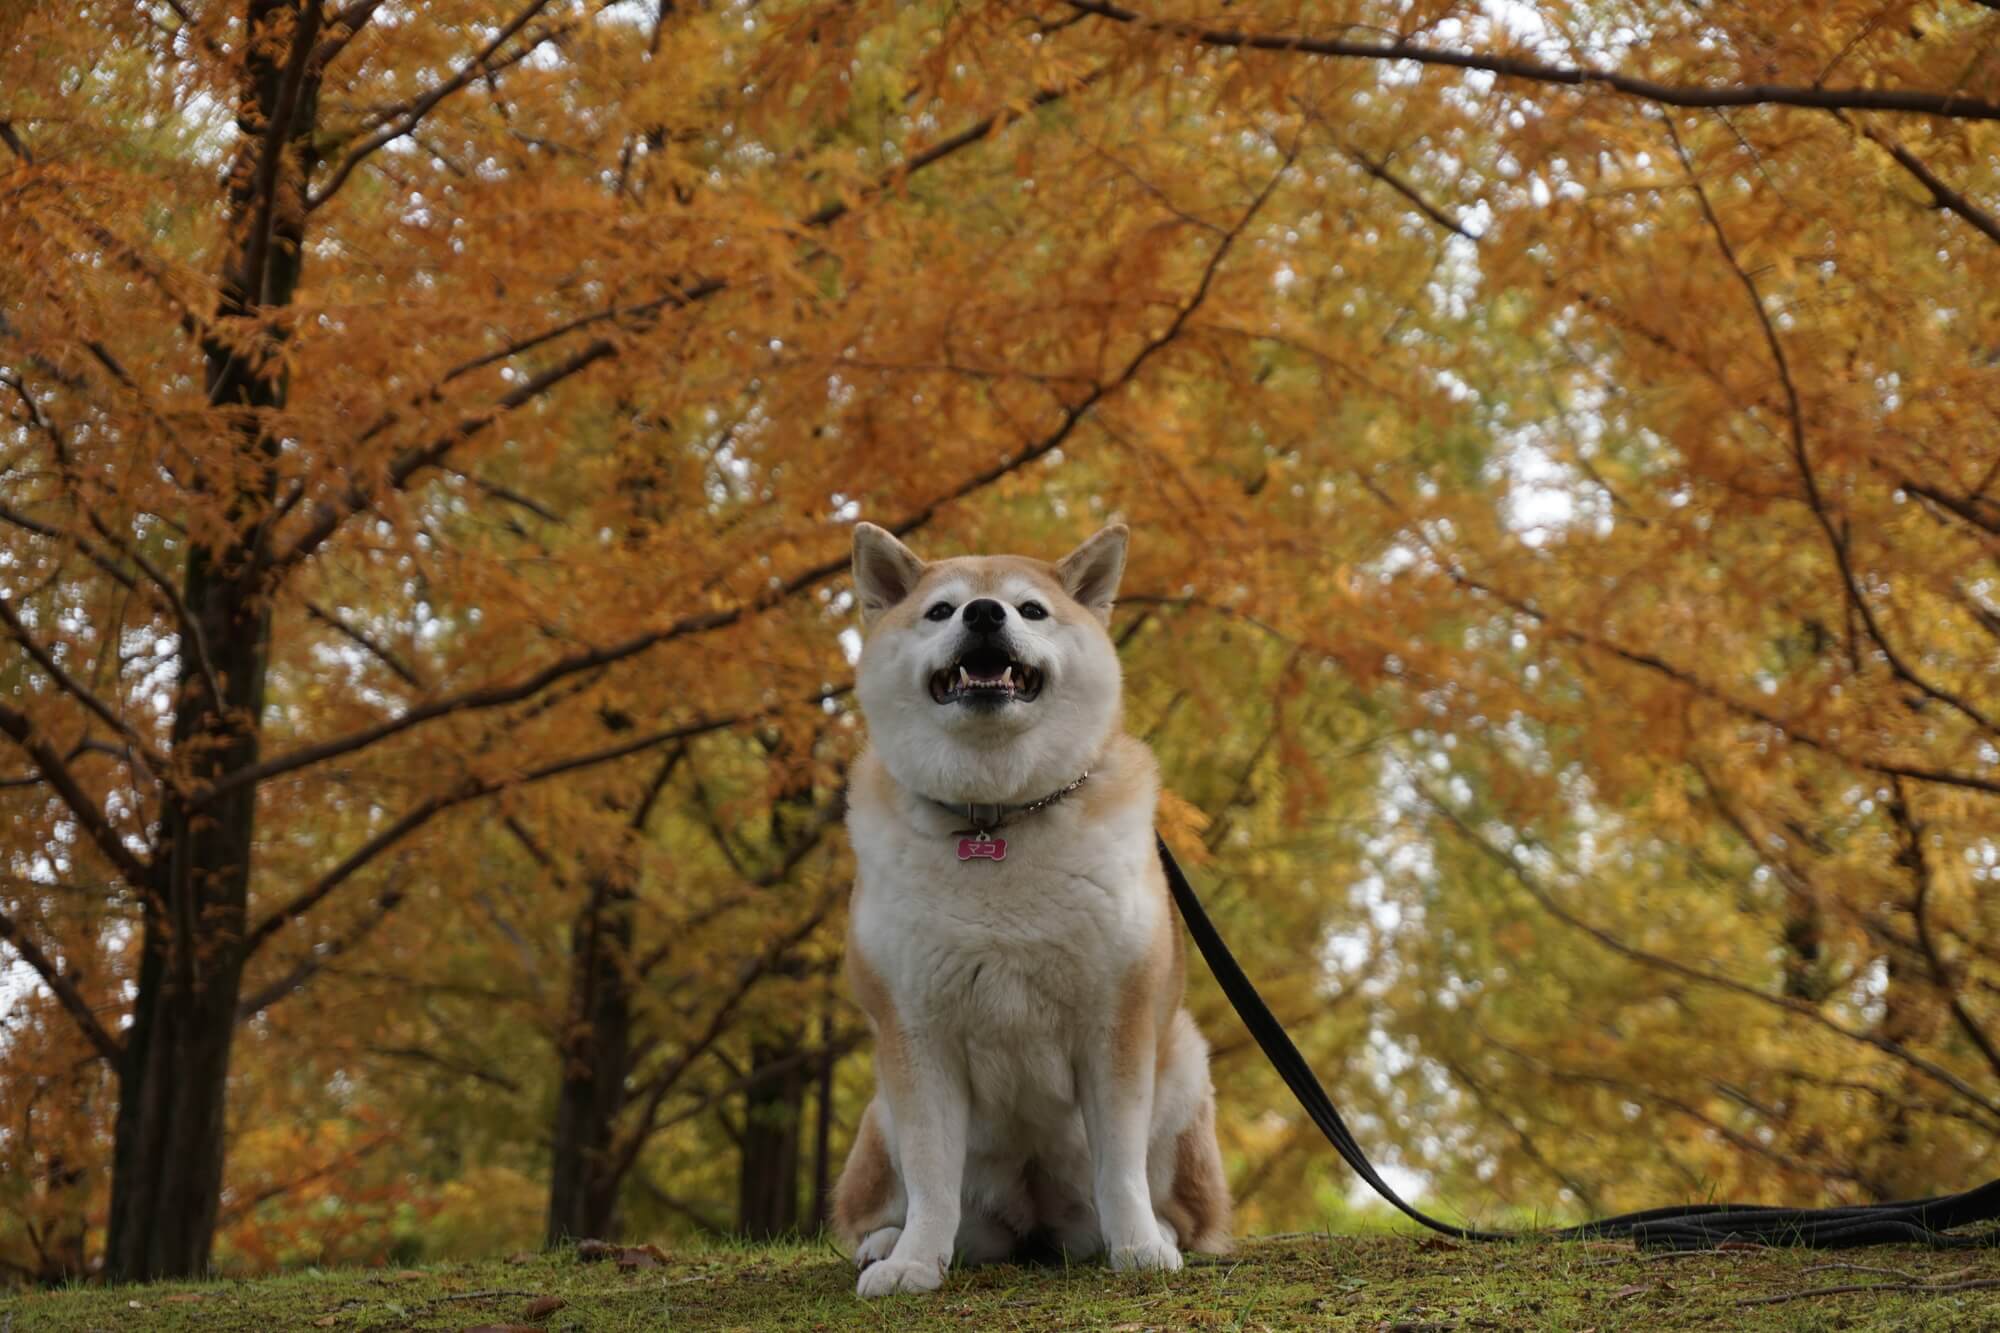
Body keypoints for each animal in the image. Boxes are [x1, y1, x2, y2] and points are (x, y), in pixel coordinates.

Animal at [820, 524, 1224, 1288]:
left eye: (1031, 609)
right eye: (941, 611)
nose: (983, 613)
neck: (995, 815)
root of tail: (1036, 1225)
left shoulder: (1116, 1019)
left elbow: (1120, 1164)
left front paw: (1139, 1247)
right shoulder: (914, 1030)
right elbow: (932, 1173)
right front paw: (914, 1263)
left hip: (1182, 1063)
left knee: (1178, 1209)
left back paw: (1159, 1231)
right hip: (882, 1115)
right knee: (902, 1207)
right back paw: (888, 1242)